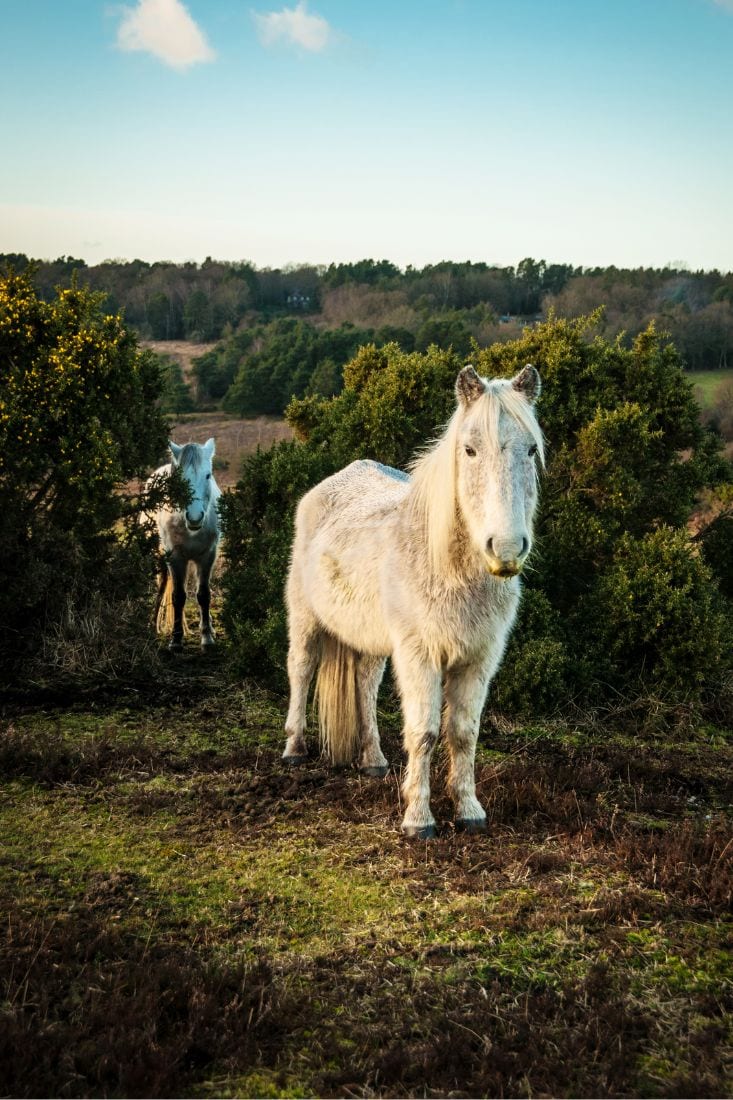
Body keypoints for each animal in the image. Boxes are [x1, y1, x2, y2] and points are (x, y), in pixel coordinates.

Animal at [146, 433, 220, 646]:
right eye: (179, 477)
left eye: (208, 475)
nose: (194, 517)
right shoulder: (175, 557)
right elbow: (178, 596)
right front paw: (176, 639)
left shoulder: (207, 556)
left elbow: (204, 595)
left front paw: (207, 637)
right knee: (162, 584)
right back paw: (153, 624)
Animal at [281, 365, 539, 836]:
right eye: (469, 450)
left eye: (531, 449)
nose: (507, 549)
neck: (449, 568)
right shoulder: (420, 655)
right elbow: (424, 733)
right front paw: (419, 820)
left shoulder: (479, 659)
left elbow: (464, 733)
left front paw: (469, 811)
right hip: (306, 619)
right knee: (301, 670)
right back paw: (294, 749)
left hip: (371, 641)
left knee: (364, 685)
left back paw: (373, 761)